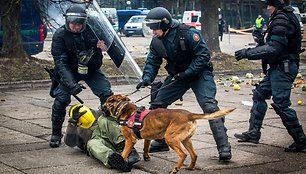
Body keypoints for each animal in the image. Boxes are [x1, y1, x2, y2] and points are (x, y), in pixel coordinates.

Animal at [105, 94, 234, 173]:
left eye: (106, 102)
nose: (101, 107)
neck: (123, 107)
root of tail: (190, 114)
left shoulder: (129, 140)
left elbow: (124, 154)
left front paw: (119, 163)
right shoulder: (148, 137)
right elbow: (146, 147)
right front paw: (146, 156)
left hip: (170, 138)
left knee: (183, 154)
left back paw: (175, 169)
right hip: (186, 140)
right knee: (194, 154)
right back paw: (190, 167)